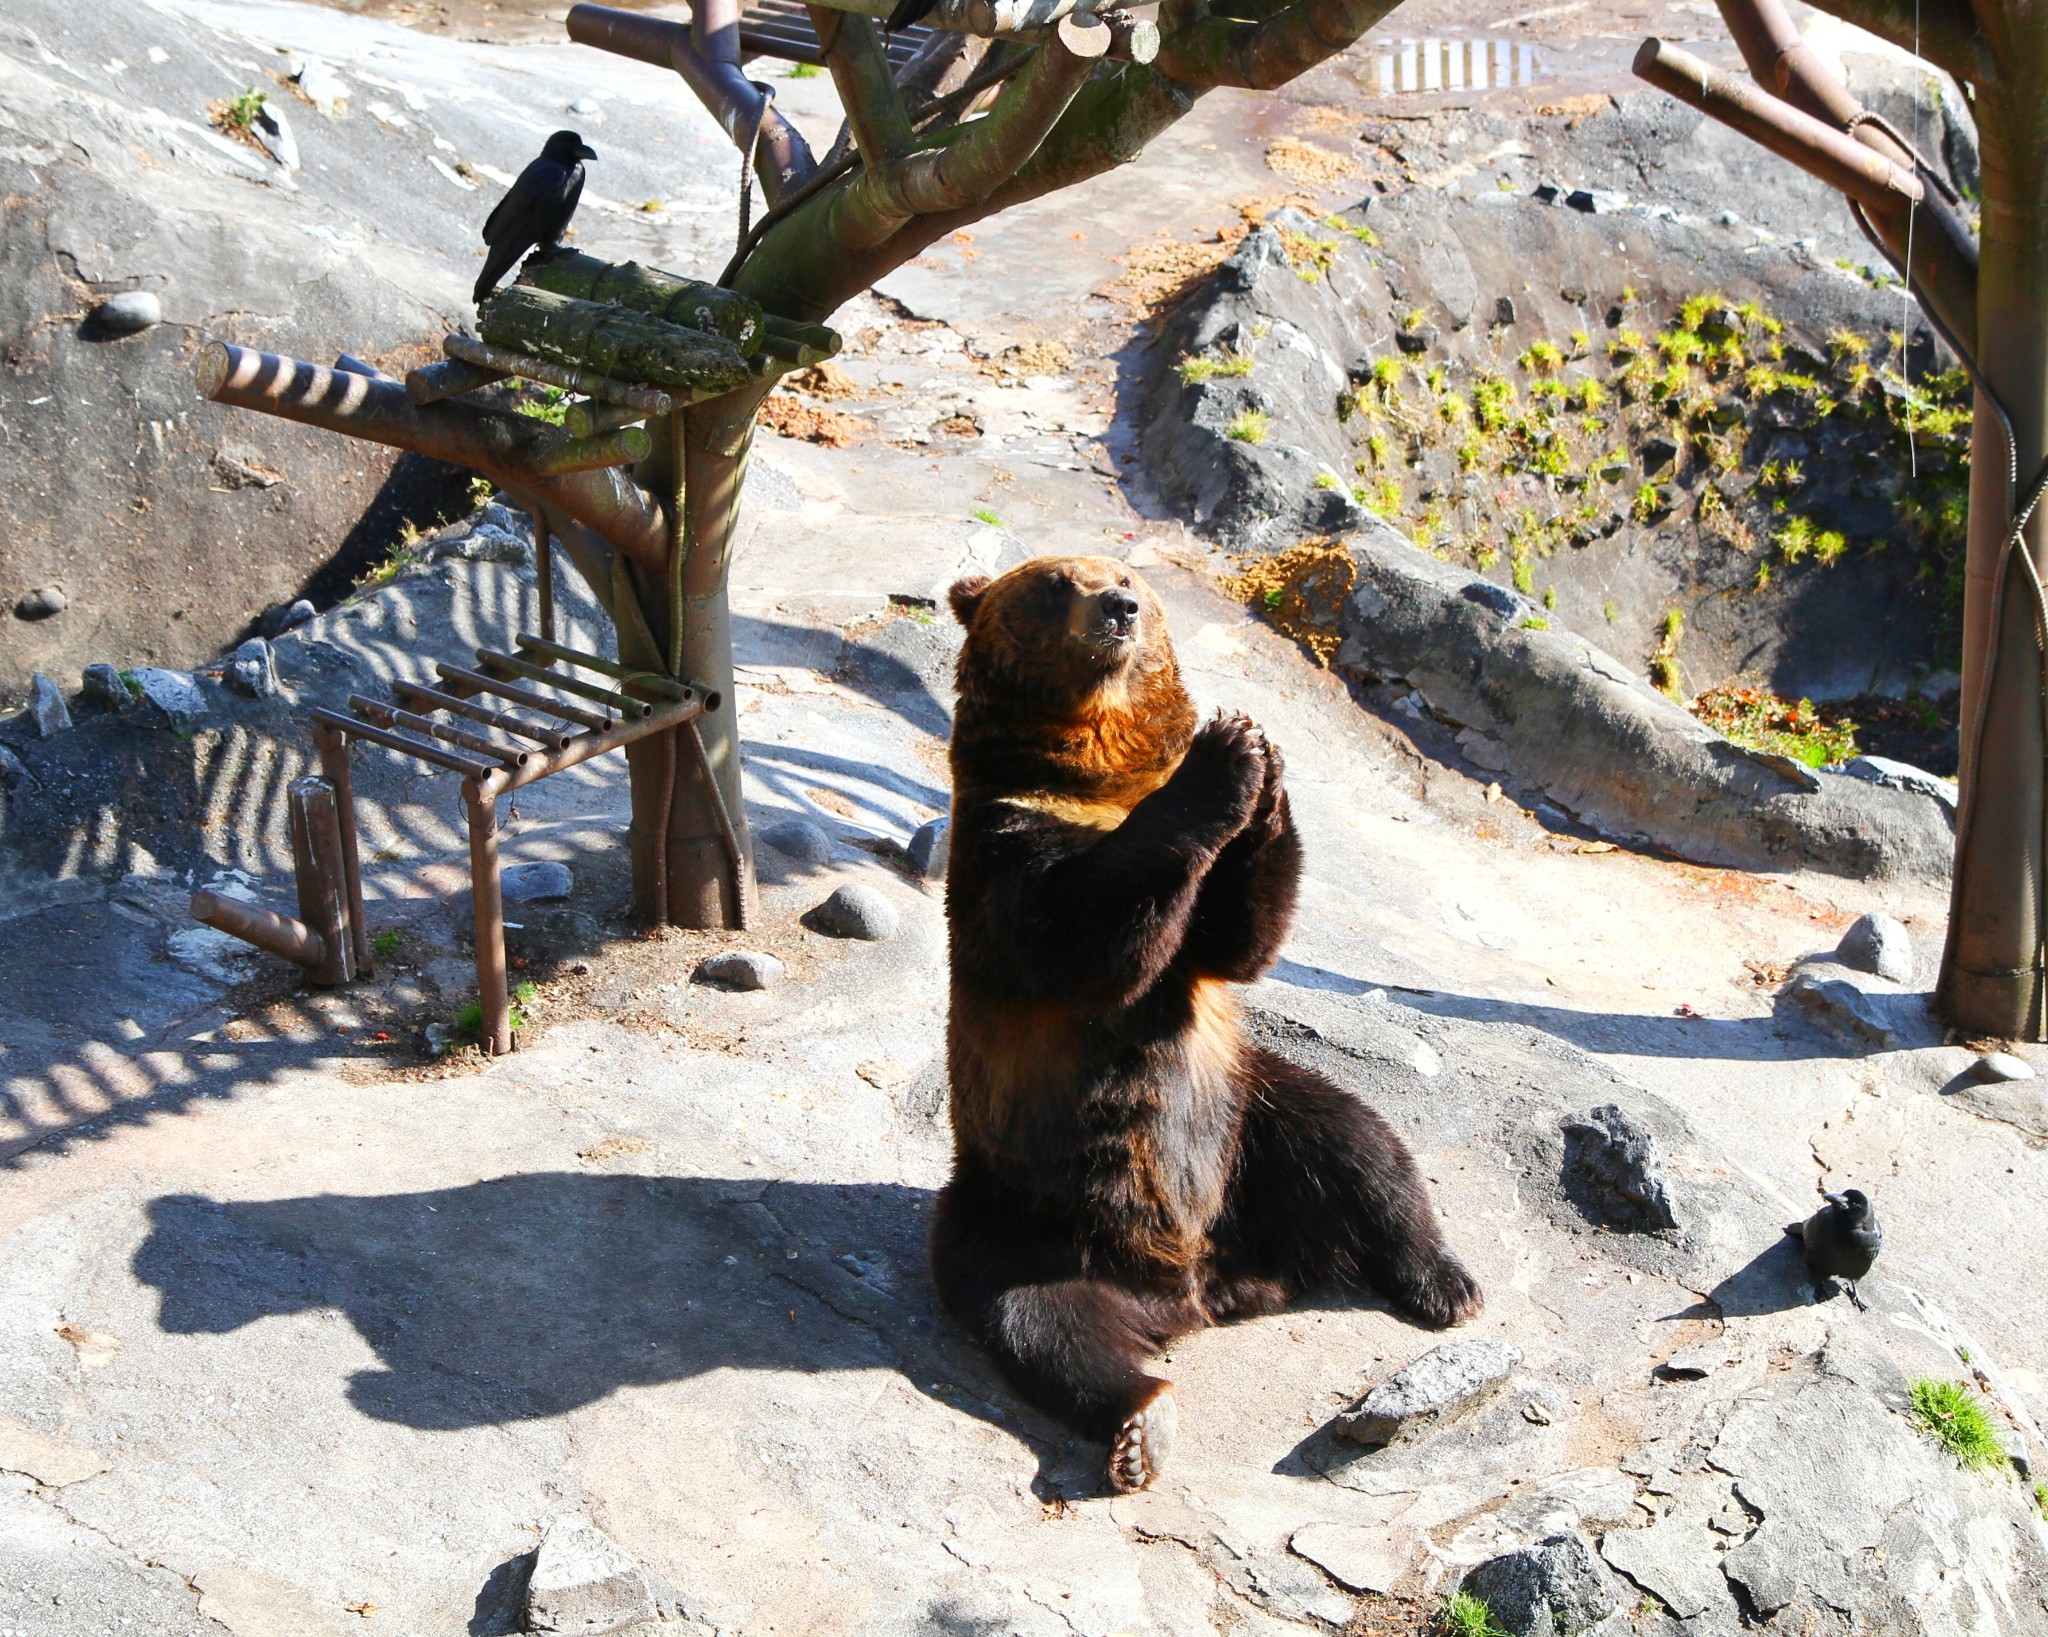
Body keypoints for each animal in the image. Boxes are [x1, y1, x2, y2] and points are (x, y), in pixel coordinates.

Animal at [933, 553, 1490, 1499]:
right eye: (1056, 582)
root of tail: (1191, 1291)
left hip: (1245, 1129)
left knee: (1356, 1143)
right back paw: (1140, 1423)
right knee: (1043, 1321)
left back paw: (1442, 1279)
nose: (1119, 609)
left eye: (1127, 576)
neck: (1088, 777)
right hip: (1022, 1213)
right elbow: (1085, 934)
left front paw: (1265, 766)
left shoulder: (1199, 949)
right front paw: (1225, 751)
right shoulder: (1006, 849)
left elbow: (1238, 938)